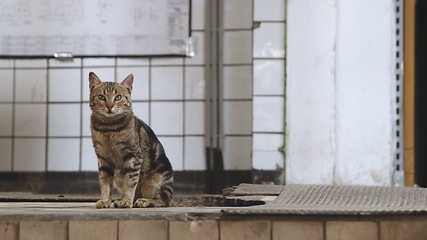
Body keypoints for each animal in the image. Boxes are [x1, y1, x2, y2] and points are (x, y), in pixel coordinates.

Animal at [88, 71, 174, 208]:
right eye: (101, 97)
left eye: (118, 97)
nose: (109, 106)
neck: (109, 128)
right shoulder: (103, 157)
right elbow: (105, 183)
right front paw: (105, 201)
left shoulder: (133, 155)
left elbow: (130, 181)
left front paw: (126, 201)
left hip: (158, 178)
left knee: (164, 200)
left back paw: (143, 201)